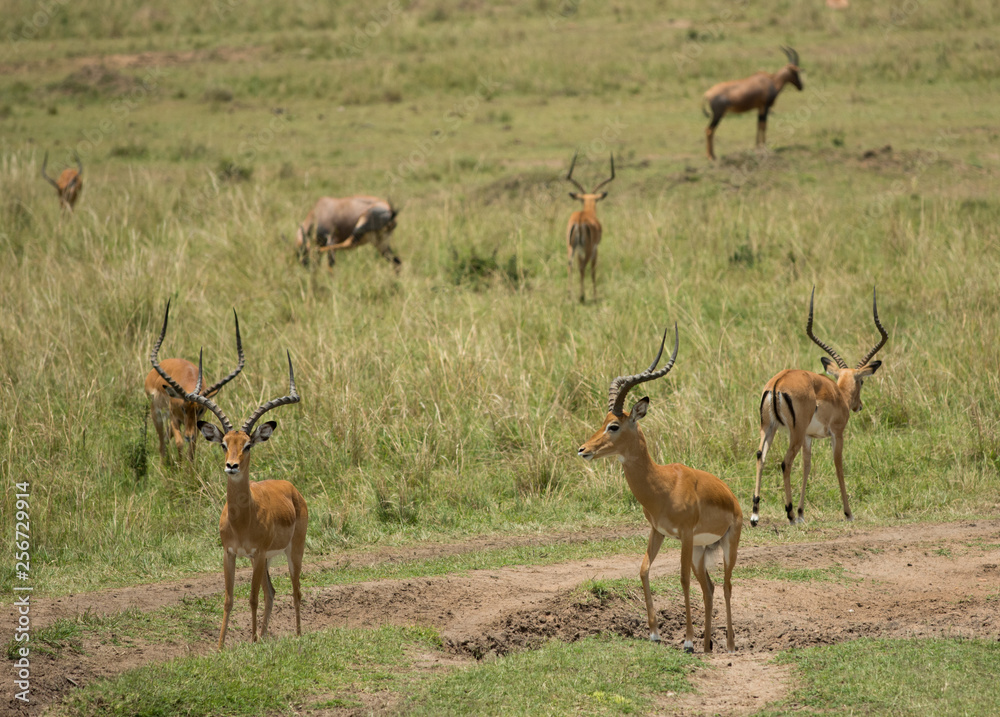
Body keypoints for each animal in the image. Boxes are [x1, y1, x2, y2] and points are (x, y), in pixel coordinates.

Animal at [146, 300, 245, 465]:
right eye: (183, 407)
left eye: (200, 410)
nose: (189, 435)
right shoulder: (174, 418)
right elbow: (179, 443)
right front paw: (179, 468)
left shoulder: (197, 425)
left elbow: (192, 449)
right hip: (157, 414)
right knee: (162, 442)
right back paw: (162, 466)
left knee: (166, 437)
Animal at [151, 313, 307, 649]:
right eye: (224, 443)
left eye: (247, 445)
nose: (231, 466)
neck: (243, 519)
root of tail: (291, 489)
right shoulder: (231, 553)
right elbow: (228, 599)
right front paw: (222, 646)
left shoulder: (257, 554)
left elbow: (251, 599)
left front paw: (250, 641)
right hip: (266, 561)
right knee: (273, 592)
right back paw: (264, 636)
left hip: (292, 551)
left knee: (295, 590)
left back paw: (298, 636)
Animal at [565, 152, 615, 303]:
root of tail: (580, 220)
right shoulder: (595, 249)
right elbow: (593, 270)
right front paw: (594, 295)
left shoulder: (579, 250)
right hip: (587, 249)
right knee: (583, 267)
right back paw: (581, 297)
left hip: (571, 247)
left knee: (570, 266)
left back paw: (570, 295)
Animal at [578, 325, 743, 653]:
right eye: (603, 421)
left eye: (614, 426)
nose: (583, 450)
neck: (662, 485)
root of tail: (732, 498)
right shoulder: (658, 531)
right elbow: (643, 569)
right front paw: (654, 632)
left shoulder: (685, 535)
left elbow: (682, 580)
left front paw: (687, 641)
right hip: (701, 549)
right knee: (710, 586)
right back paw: (708, 645)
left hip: (726, 544)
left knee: (727, 585)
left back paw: (728, 645)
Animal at [752, 287, 888, 526]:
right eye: (862, 381)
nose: (859, 406)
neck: (839, 395)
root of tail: (777, 382)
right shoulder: (837, 433)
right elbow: (838, 465)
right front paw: (848, 513)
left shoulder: (809, 437)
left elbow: (807, 466)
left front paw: (802, 512)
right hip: (793, 433)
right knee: (785, 462)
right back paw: (788, 514)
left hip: (770, 427)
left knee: (761, 456)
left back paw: (755, 514)